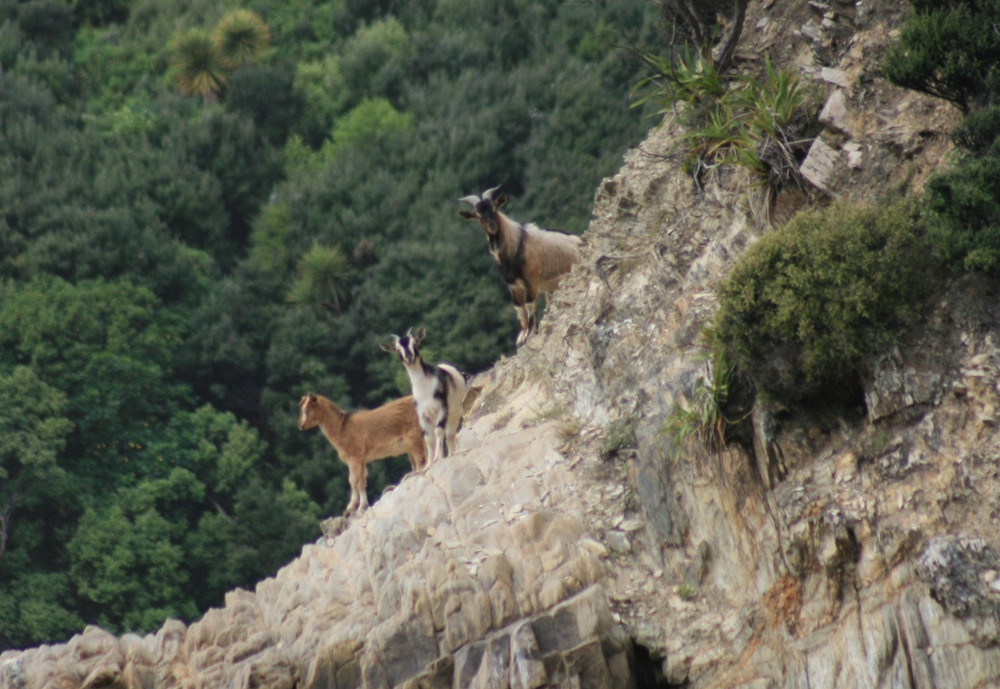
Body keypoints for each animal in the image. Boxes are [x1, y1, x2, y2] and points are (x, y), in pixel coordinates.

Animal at [298, 392, 426, 514]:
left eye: (308, 410)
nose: (301, 425)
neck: (341, 428)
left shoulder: (354, 457)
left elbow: (353, 480)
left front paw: (351, 507)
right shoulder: (362, 459)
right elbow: (362, 482)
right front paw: (362, 507)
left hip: (414, 437)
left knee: (420, 459)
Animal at [380, 327, 466, 466]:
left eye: (415, 343)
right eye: (397, 349)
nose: (409, 358)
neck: (425, 389)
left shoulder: (442, 409)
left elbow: (438, 431)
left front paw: (438, 457)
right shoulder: (422, 415)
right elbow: (428, 439)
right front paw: (429, 463)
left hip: (455, 413)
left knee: (450, 434)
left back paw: (452, 454)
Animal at [459, 186, 582, 345]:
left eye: (494, 209)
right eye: (477, 215)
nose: (492, 227)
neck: (515, 244)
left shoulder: (531, 283)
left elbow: (529, 306)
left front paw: (530, 334)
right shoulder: (513, 286)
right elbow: (519, 308)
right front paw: (522, 336)